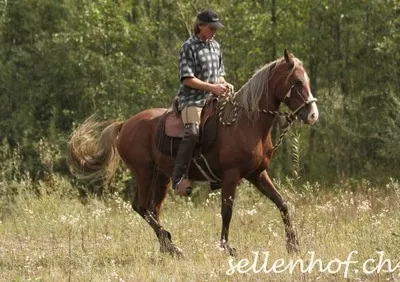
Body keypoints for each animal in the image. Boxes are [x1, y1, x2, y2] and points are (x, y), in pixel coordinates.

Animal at [68, 49, 318, 256]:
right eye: (297, 81)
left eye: (306, 80)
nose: (313, 115)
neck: (247, 123)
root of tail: (125, 124)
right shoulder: (231, 175)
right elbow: (226, 211)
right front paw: (226, 247)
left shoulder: (257, 174)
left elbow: (282, 203)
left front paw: (293, 245)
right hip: (143, 172)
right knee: (140, 207)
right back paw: (170, 243)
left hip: (161, 176)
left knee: (152, 209)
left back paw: (169, 247)